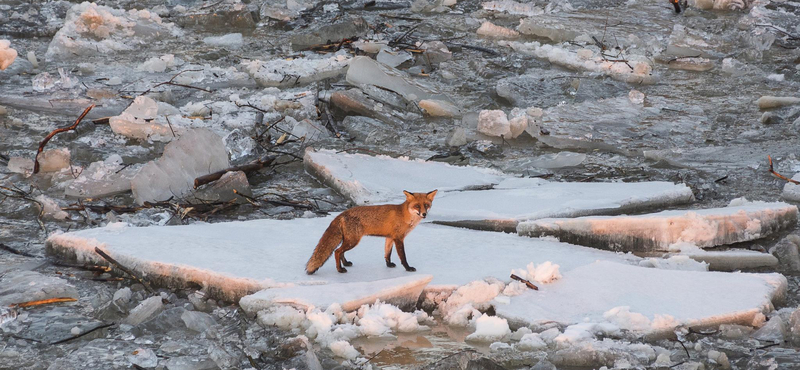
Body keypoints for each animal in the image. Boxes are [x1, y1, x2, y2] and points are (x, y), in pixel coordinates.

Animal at [304, 191, 438, 274]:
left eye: (426, 205)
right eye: (417, 206)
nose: (424, 214)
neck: (405, 216)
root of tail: (341, 214)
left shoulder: (390, 237)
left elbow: (387, 254)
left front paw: (389, 265)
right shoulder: (399, 238)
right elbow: (403, 257)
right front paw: (408, 268)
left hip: (349, 240)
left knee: (341, 252)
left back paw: (345, 263)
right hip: (353, 241)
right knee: (337, 251)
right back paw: (340, 269)